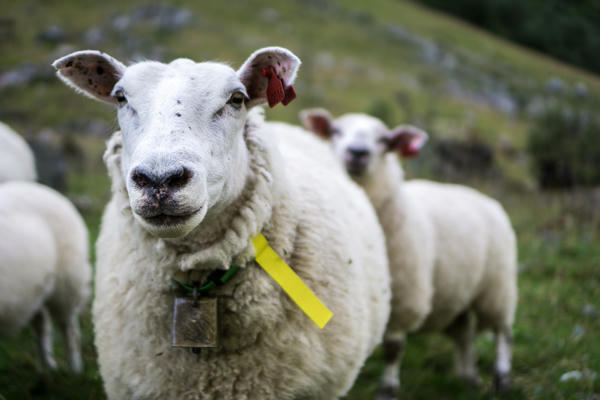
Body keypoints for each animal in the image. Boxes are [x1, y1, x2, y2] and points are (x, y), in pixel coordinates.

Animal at [0, 181, 91, 372]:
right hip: (37, 290)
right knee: (42, 325)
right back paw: (46, 366)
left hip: (67, 283)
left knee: (69, 328)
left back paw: (74, 369)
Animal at [302, 108, 516, 398]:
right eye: (336, 131)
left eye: (383, 140)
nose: (358, 153)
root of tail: (482, 197)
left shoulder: (405, 296)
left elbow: (394, 349)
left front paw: (387, 389)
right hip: (459, 290)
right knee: (464, 333)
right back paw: (467, 377)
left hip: (497, 285)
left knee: (503, 332)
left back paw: (501, 378)